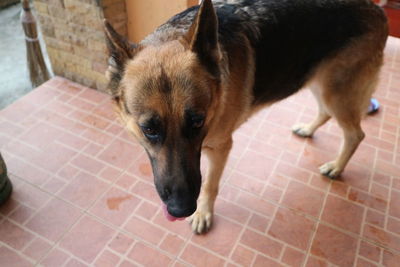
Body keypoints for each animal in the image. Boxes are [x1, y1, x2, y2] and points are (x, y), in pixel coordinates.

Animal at [104, 0, 388, 234]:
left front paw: (203, 213)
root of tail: (377, 10)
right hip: (319, 84)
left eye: (197, 121)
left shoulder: (221, 148)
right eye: (149, 129)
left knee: (355, 134)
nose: (181, 209)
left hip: (336, 93)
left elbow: (210, 184)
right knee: (326, 113)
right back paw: (308, 129)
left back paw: (337, 167)